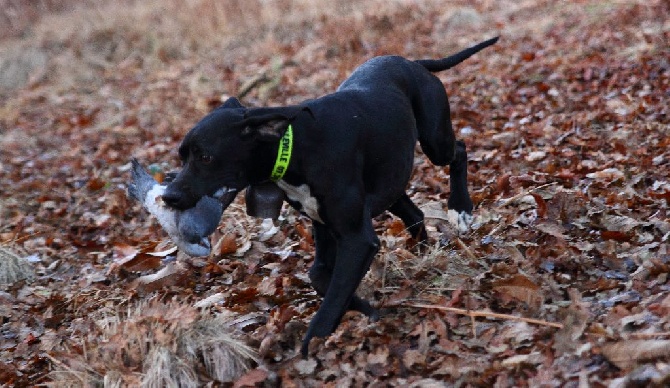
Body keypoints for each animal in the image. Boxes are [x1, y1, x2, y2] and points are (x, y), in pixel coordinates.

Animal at [161, 37, 498, 358]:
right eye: (182, 156)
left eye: (205, 157)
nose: (168, 196)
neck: (294, 146)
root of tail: (413, 62)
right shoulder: (325, 227)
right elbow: (320, 277)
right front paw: (365, 308)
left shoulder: (356, 238)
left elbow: (332, 294)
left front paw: (313, 344)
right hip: (390, 180)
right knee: (414, 213)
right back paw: (424, 254)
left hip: (434, 140)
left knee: (459, 151)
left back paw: (460, 209)